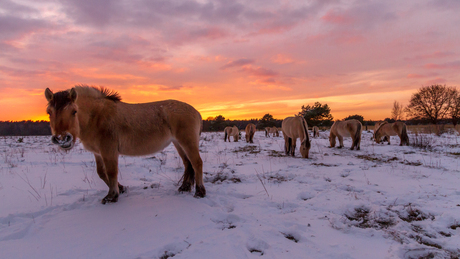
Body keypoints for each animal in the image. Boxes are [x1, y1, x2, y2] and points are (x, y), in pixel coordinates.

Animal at [44, 86, 206, 204]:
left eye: (74, 111)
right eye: (49, 113)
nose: (62, 139)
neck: (96, 117)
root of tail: (196, 112)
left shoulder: (109, 151)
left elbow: (111, 172)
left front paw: (112, 196)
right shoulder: (98, 153)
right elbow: (101, 173)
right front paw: (121, 189)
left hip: (187, 142)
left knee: (197, 163)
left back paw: (199, 192)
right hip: (178, 143)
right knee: (187, 164)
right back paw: (184, 188)